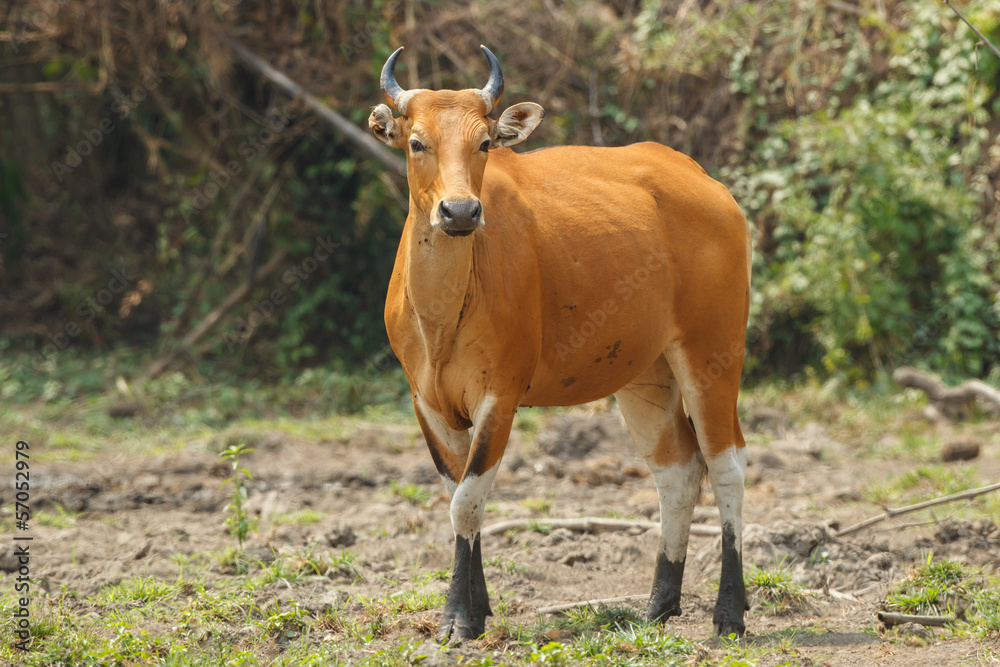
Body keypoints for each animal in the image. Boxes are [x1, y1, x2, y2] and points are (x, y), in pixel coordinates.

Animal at [368, 45, 752, 640]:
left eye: (484, 143)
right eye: (416, 142)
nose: (460, 211)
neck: (444, 317)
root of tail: (711, 187)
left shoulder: (500, 396)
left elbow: (468, 501)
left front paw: (459, 617)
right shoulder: (426, 402)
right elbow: (458, 496)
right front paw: (477, 606)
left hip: (714, 351)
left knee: (727, 466)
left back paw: (729, 612)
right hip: (646, 373)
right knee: (678, 470)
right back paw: (659, 604)